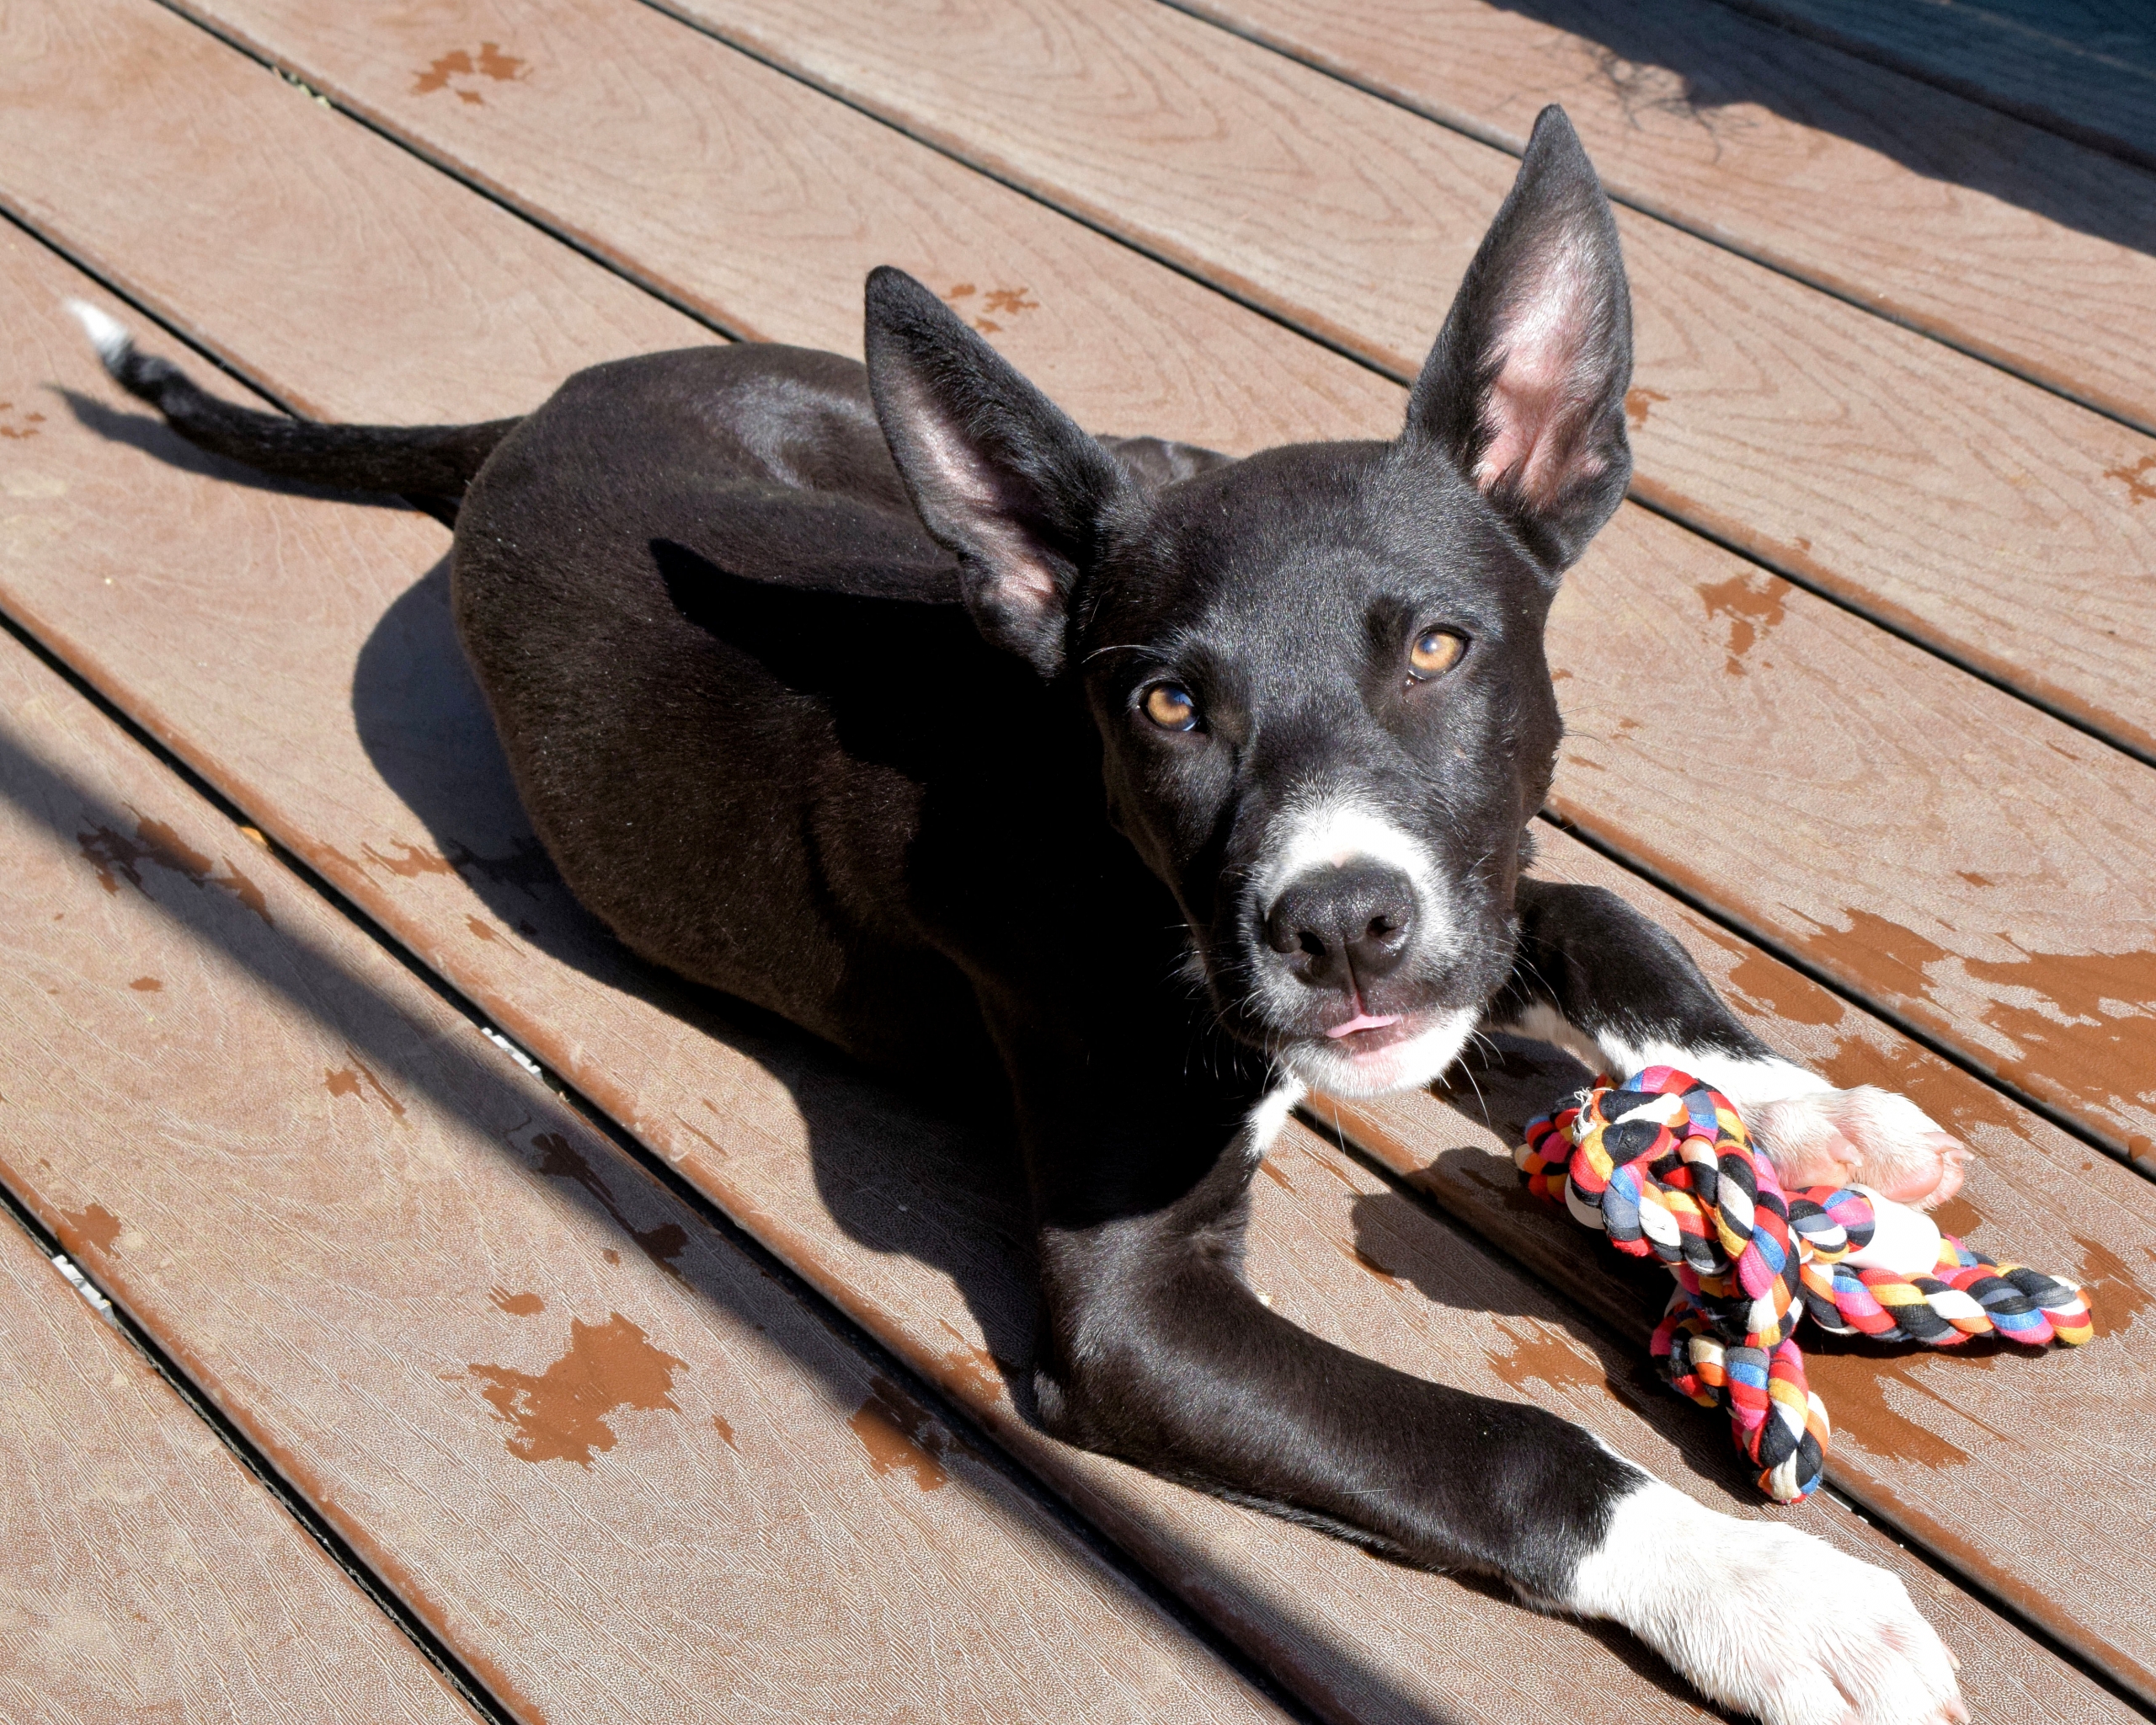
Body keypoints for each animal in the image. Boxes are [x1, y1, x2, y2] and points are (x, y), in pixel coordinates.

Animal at [79, 110, 1974, 1725]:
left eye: (1441, 645)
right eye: (1165, 706)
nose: (1340, 927)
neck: (1122, 854)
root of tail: (544, 410)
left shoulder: (1466, 902)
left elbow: (1603, 920)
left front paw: (1811, 1126)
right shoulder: (1136, 1316)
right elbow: (1504, 1443)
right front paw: (1768, 1592)